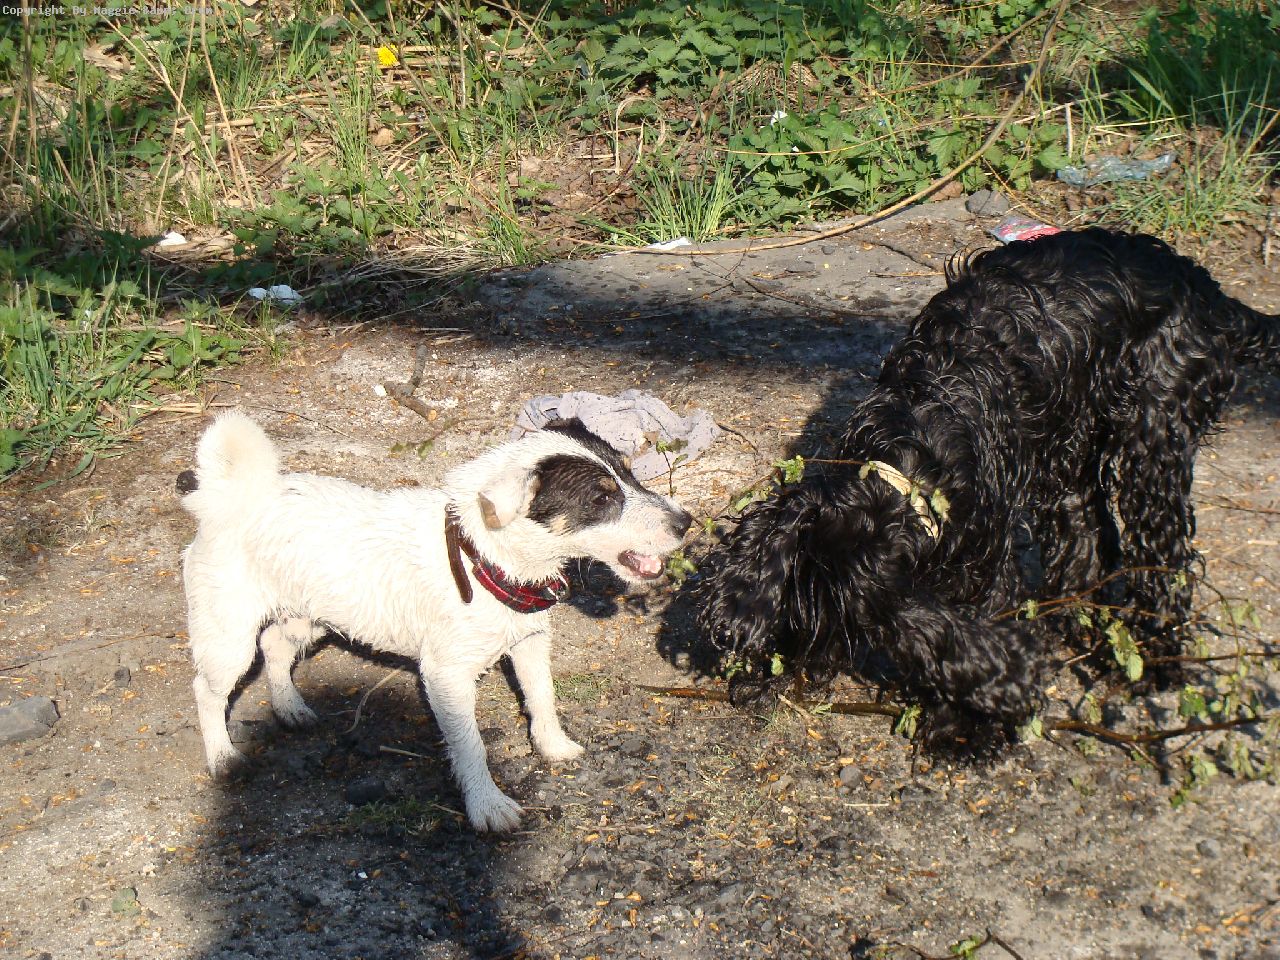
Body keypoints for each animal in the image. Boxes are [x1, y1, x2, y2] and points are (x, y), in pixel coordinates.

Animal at [178, 412, 692, 830]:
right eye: (601, 499)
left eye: (629, 472)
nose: (685, 522)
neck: (479, 554)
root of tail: (231, 498)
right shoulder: (446, 677)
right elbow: (470, 744)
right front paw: (486, 805)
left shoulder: (529, 642)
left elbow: (543, 698)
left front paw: (553, 745)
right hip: (228, 637)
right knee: (207, 689)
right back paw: (222, 755)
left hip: (310, 615)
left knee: (276, 647)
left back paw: (289, 707)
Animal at [697, 228, 1278, 756]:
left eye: (830, 632)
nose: (782, 676)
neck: (913, 449)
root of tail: (1204, 288)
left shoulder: (985, 554)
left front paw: (964, 724)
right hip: (1069, 450)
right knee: (1087, 533)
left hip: (1155, 433)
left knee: (1164, 552)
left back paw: (1154, 657)